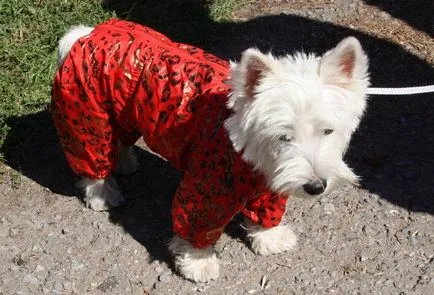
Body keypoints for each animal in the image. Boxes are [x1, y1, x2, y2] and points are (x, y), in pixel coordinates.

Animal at [52, 19, 368, 284]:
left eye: (327, 131)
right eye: (284, 136)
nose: (316, 186)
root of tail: (86, 35)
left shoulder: (270, 182)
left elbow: (266, 211)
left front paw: (270, 237)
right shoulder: (204, 191)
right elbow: (196, 225)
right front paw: (198, 263)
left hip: (123, 112)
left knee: (120, 140)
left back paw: (125, 162)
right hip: (88, 116)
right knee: (92, 157)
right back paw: (103, 193)